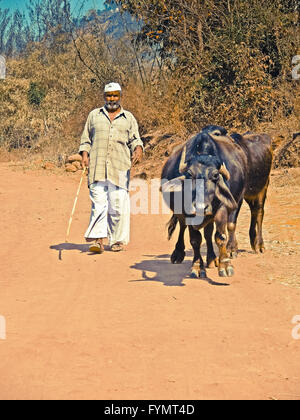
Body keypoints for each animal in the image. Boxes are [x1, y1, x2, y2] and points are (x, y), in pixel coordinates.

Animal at [161, 123, 274, 278]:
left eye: (215, 175)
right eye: (189, 174)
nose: (201, 207)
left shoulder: (226, 205)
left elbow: (221, 235)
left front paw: (226, 262)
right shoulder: (188, 211)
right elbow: (195, 239)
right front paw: (197, 266)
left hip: (263, 187)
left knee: (259, 213)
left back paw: (258, 244)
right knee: (189, 227)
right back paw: (182, 254)